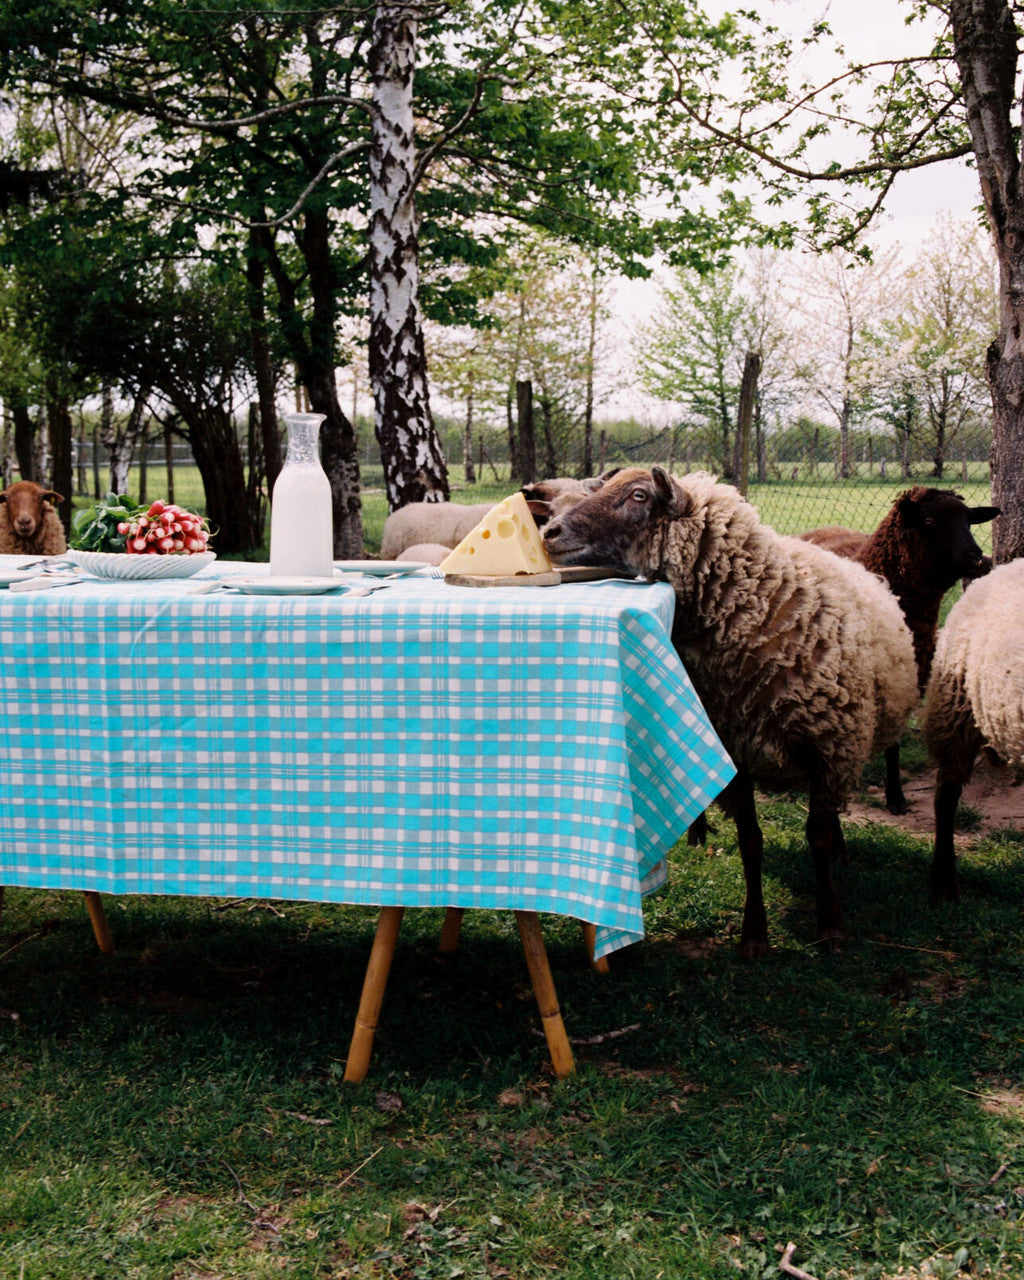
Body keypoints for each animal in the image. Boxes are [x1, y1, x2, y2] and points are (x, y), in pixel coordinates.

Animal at [542, 465, 921, 957]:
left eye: (639, 496)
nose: (549, 531)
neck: (762, 612)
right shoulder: (735, 751)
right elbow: (750, 842)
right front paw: (754, 934)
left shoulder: (826, 747)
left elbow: (816, 838)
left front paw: (831, 925)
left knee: (831, 815)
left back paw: (841, 850)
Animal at [803, 483, 998, 814]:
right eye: (929, 520)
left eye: (969, 520)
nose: (978, 559)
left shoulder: (907, 678)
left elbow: (893, 743)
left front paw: (896, 796)